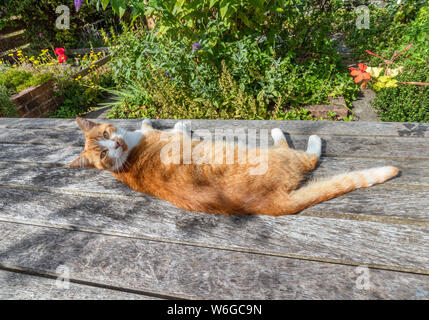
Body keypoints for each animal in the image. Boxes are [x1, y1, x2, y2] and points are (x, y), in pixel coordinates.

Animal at [67, 117, 398, 215]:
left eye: (106, 135)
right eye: (104, 154)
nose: (116, 145)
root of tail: (269, 203)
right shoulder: (174, 136)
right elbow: (177, 127)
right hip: (279, 157)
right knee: (307, 156)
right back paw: (299, 136)